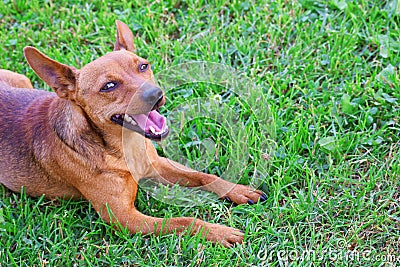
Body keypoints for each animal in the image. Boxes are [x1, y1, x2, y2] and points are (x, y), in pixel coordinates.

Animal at [0, 21, 266, 249]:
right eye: (108, 86)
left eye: (143, 66)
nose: (156, 94)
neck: (122, 147)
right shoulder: (125, 218)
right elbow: (183, 221)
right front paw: (218, 231)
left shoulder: (157, 165)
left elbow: (203, 176)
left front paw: (238, 190)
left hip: (22, 80)